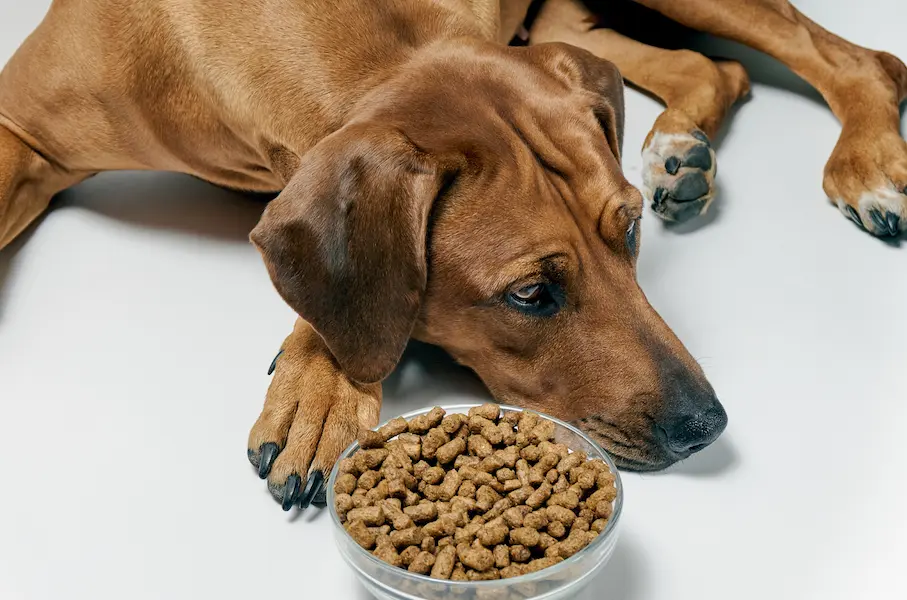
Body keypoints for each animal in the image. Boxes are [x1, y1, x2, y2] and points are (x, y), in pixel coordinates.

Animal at [0, 0, 900, 510]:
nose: (705, 426)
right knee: (710, 65)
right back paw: (680, 144)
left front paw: (320, 381)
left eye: (628, 233)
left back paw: (863, 161)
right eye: (530, 294)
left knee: (852, 57)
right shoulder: (19, 127)